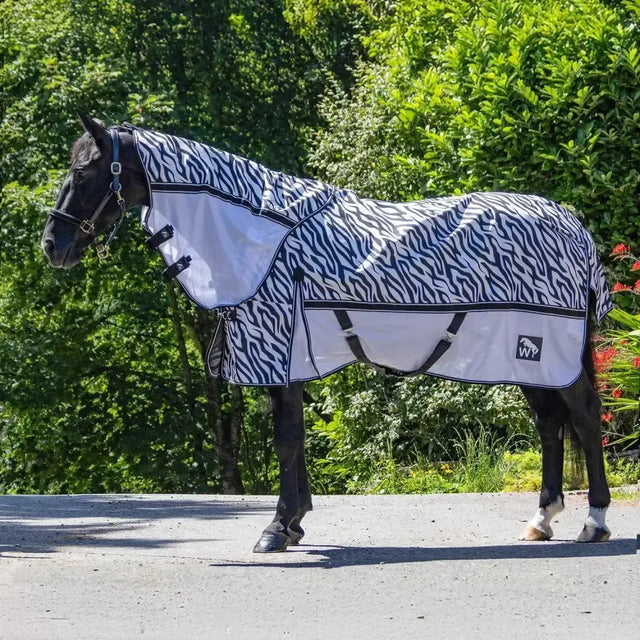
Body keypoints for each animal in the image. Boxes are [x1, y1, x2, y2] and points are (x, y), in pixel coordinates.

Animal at [41, 113, 612, 552]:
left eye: (85, 170)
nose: (52, 245)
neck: (262, 235)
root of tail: (574, 226)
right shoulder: (291, 359)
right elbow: (293, 438)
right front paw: (294, 523)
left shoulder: (278, 350)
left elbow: (286, 441)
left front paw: (276, 529)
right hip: (529, 359)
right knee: (549, 426)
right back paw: (541, 519)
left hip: (547, 354)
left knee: (584, 419)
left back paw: (594, 521)